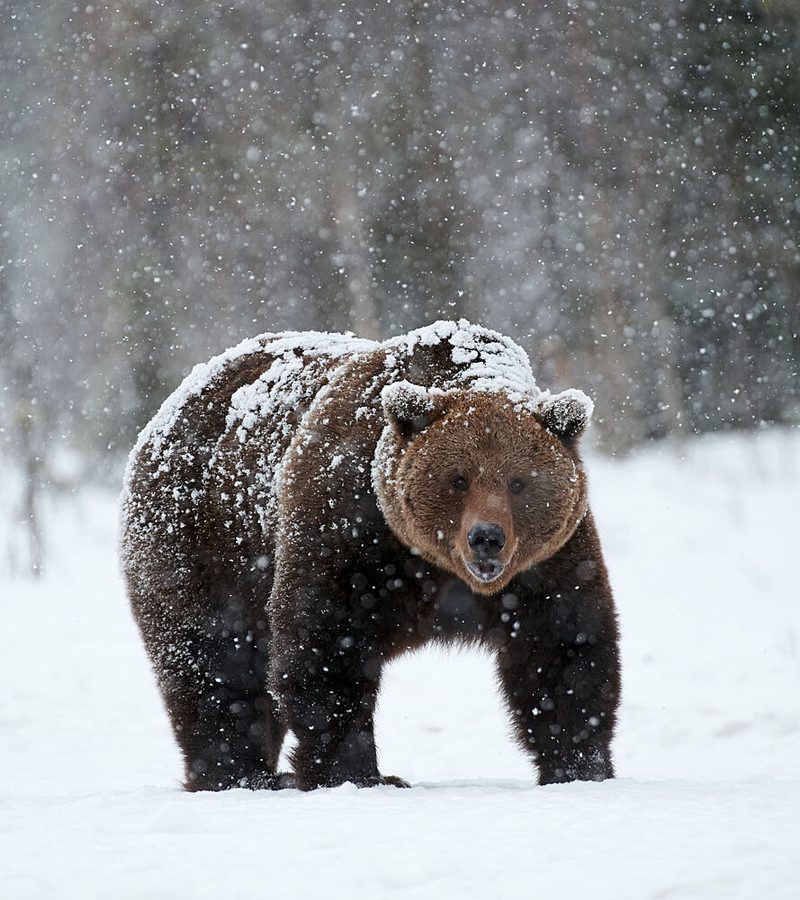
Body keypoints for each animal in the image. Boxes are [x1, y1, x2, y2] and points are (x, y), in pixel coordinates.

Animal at [121, 320, 620, 791]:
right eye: (458, 479)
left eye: (518, 482)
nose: (486, 538)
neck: (435, 566)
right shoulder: (348, 526)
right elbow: (326, 645)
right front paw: (358, 773)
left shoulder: (548, 561)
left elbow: (564, 647)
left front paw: (580, 766)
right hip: (202, 541)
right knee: (215, 661)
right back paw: (240, 774)